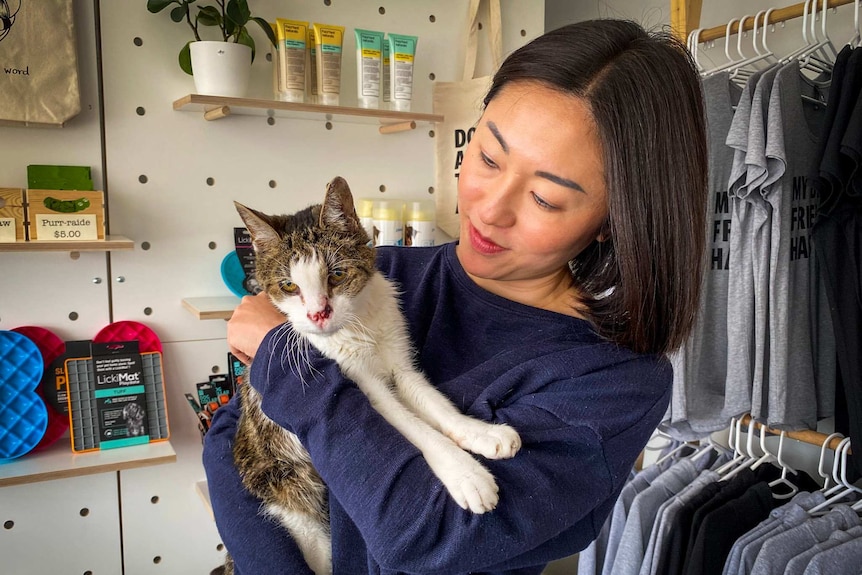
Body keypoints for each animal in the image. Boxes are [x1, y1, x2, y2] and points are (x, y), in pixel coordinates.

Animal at [226, 177, 524, 575]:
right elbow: (416, 428)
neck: (359, 323)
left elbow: (435, 406)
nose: (318, 315)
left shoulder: (401, 365)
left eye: (337, 274)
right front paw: (466, 474)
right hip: (294, 504)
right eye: (289, 286)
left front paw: (482, 433)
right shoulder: (364, 386)